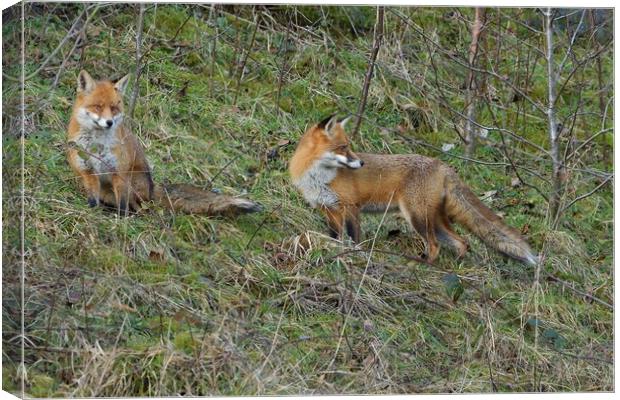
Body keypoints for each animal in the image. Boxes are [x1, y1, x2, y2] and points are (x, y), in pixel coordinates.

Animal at [66, 71, 260, 216]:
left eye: (114, 108)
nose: (109, 123)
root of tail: (152, 188)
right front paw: (92, 211)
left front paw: (122, 220)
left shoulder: (118, 171)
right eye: (98, 106)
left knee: (139, 205)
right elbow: (93, 198)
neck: (97, 145)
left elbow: (122, 204)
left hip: (134, 182)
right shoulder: (87, 169)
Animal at [290, 115, 536, 266]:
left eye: (348, 146)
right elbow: (334, 236)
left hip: (417, 217)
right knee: (461, 242)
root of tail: (442, 164)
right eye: (342, 147)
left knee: (436, 245)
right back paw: (452, 267)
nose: (360, 163)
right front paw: (335, 249)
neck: (318, 178)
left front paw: (353, 255)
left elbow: (353, 238)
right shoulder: (328, 209)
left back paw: (422, 264)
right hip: (433, 220)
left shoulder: (350, 207)